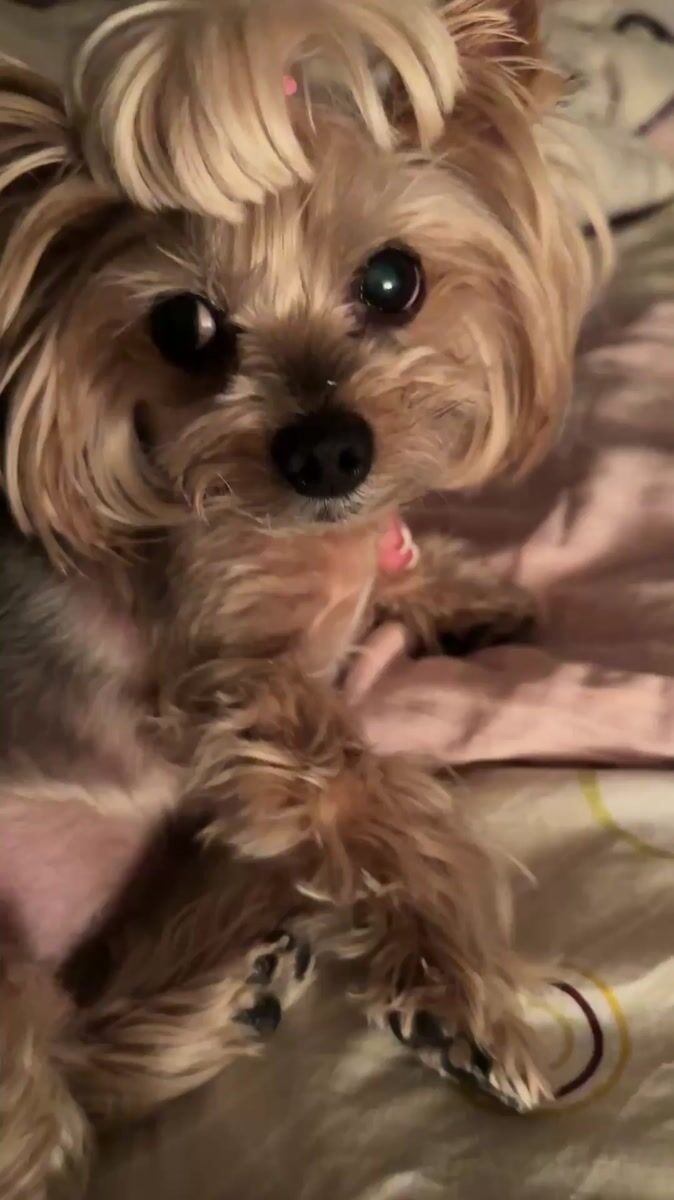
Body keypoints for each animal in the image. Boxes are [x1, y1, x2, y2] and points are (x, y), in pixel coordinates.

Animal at [0, 0, 599, 1194]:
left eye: (392, 280)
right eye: (183, 326)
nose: (327, 451)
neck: (309, 538)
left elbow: (402, 562)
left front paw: (468, 598)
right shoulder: (233, 683)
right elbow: (371, 785)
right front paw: (459, 991)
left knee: (76, 1051)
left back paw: (228, 993)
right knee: (42, 1107)